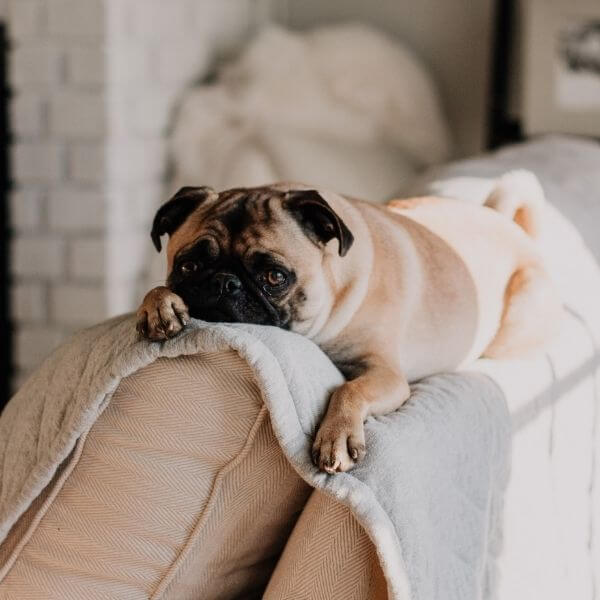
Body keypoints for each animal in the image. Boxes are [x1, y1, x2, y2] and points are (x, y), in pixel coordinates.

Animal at [136, 170, 564, 474]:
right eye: (189, 266)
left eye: (275, 277)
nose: (225, 283)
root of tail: (510, 226)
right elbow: (156, 290)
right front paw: (158, 305)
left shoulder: (386, 374)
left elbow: (349, 390)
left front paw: (337, 437)